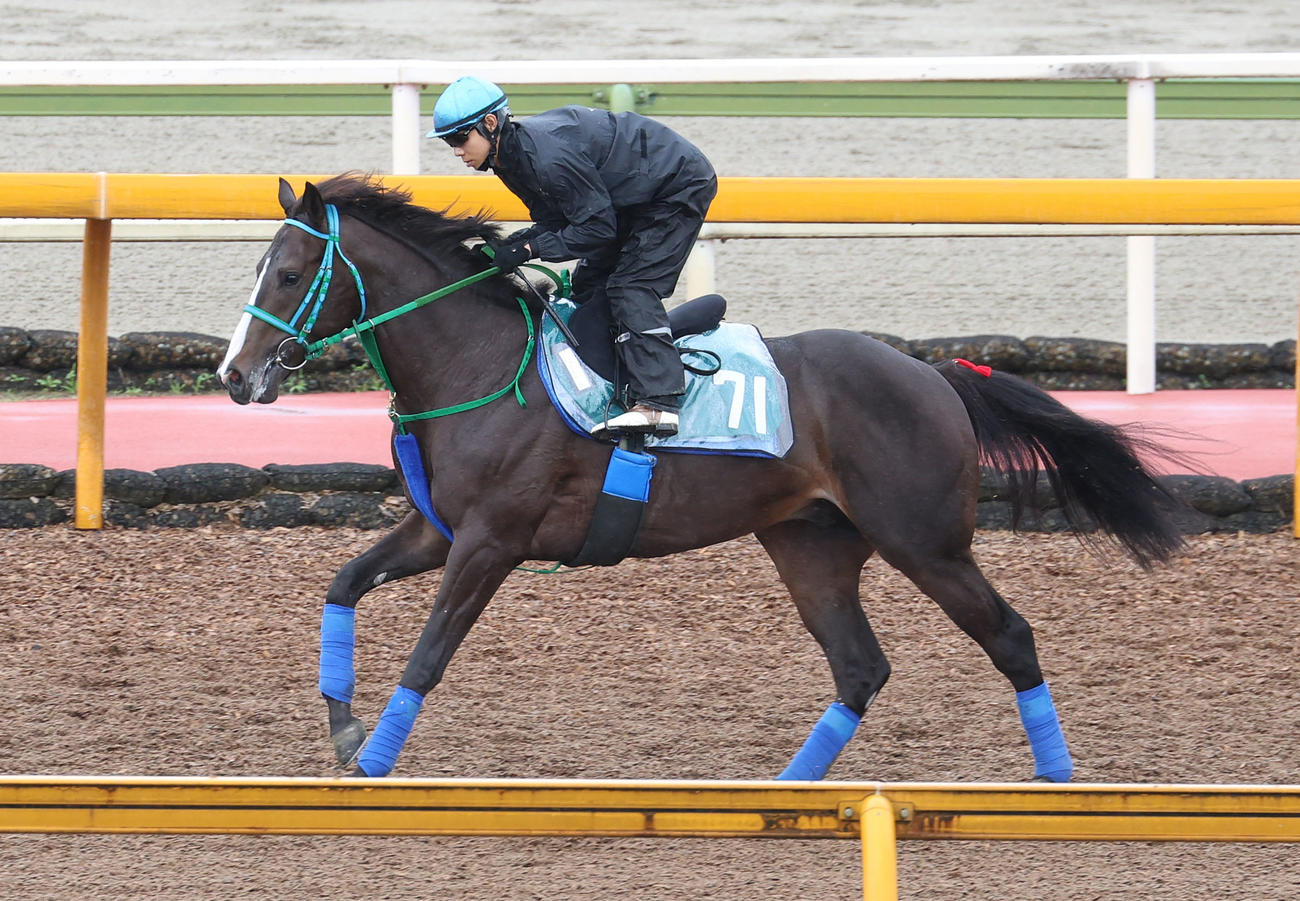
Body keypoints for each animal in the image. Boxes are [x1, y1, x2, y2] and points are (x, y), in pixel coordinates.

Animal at [218, 173, 1186, 781]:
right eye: (259, 267)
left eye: (292, 272)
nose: (234, 376)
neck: (479, 365)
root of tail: (937, 373)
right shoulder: (437, 528)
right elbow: (343, 583)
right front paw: (342, 723)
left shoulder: (490, 541)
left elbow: (429, 653)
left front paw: (374, 761)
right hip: (811, 544)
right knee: (859, 667)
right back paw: (786, 792)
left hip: (927, 543)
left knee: (1010, 637)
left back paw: (1056, 779)